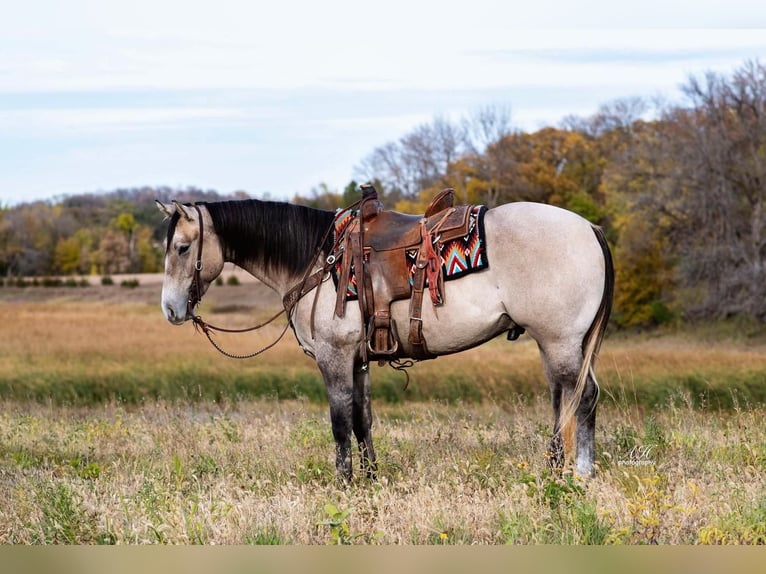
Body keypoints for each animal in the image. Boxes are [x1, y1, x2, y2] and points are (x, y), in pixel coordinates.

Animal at [156, 198, 616, 482]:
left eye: (181, 248)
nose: (171, 310)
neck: (319, 260)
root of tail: (589, 227)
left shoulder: (335, 358)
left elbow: (340, 421)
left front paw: (344, 482)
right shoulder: (358, 360)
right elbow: (363, 420)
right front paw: (371, 478)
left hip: (560, 341)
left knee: (582, 398)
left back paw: (580, 473)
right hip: (559, 344)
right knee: (564, 399)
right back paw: (556, 467)